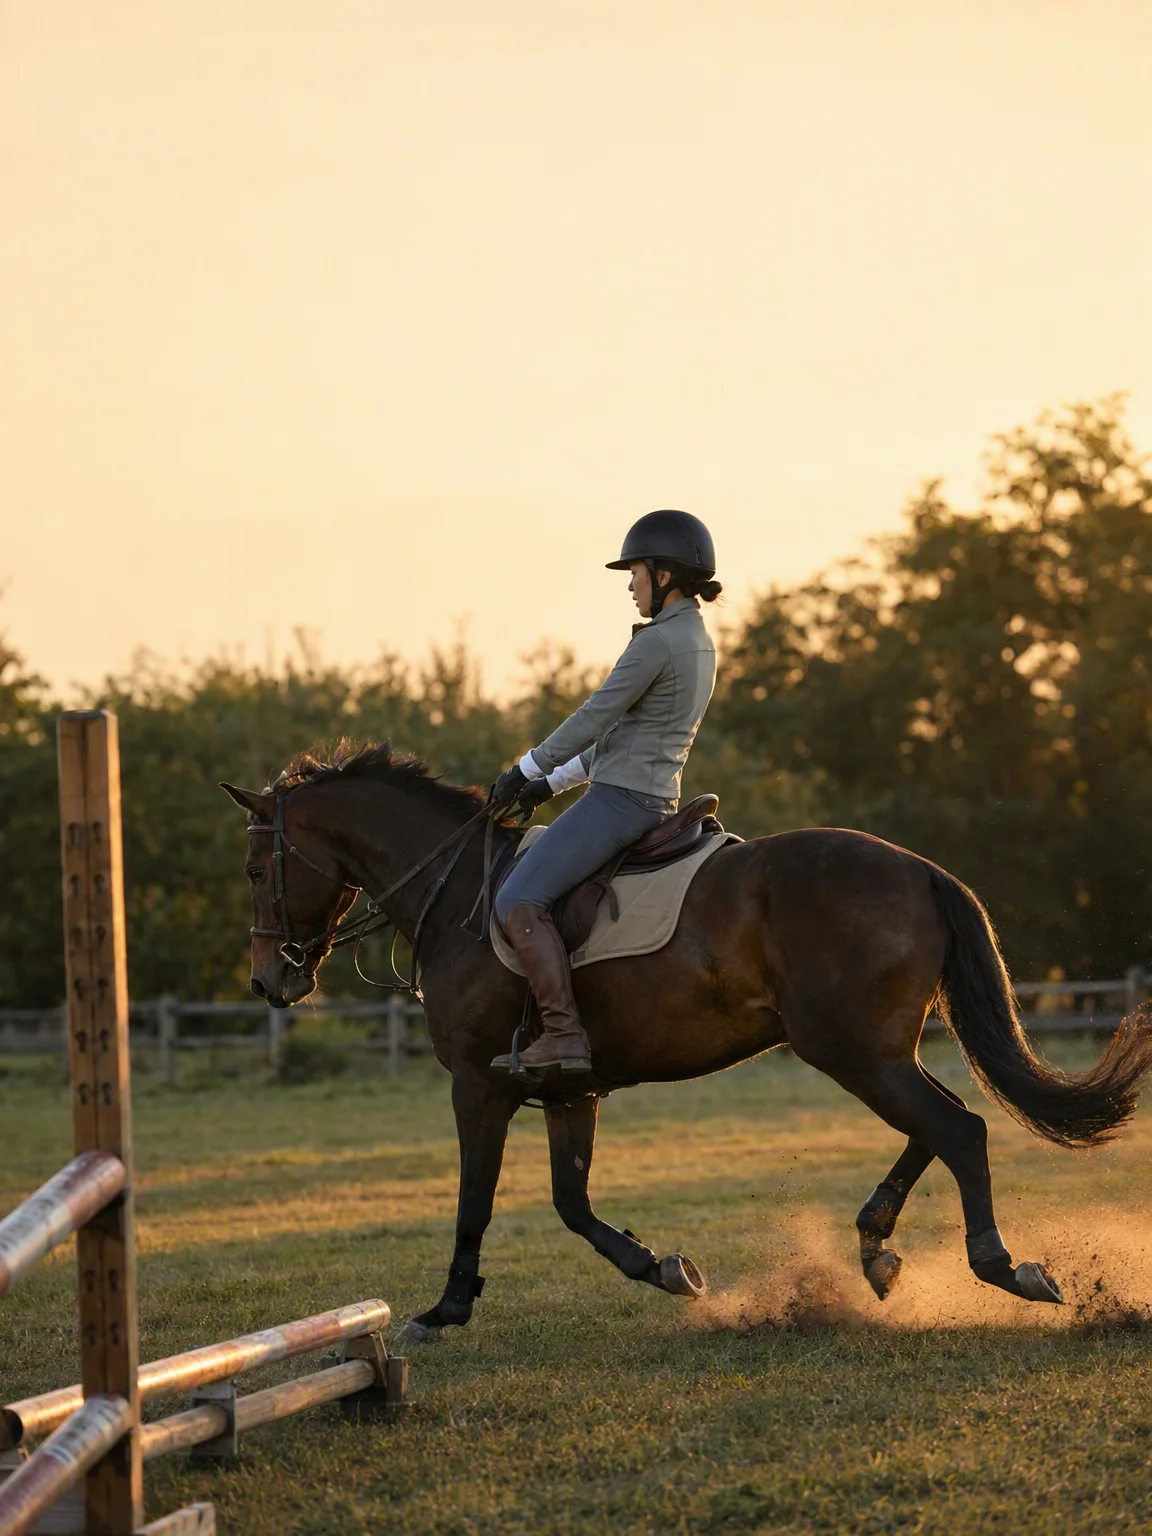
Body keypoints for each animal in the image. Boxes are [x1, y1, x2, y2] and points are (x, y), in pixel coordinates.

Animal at [221, 740, 1152, 1340]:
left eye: (255, 869)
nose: (271, 982)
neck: (458, 895)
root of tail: (919, 868)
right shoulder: (569, 1091)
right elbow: (572, 1204)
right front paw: (667, 1270)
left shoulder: (478, 1086)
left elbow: (475, 1200)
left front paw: (445, 1310)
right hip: (875, 1051)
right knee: (942, 1123)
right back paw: (877, 1247)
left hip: (852, 1052)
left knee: (957, 1128)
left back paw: (1004, 1267)